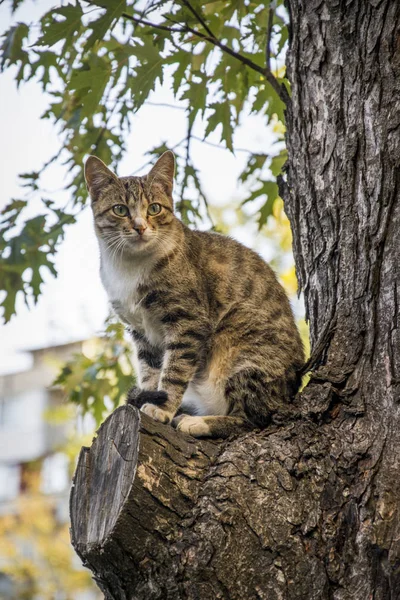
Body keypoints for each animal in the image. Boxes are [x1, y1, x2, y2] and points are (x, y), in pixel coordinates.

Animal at [83, 152, 304, 438]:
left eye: (154, 208)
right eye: (120, 209)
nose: (140, 227)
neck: (129, 268)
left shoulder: (188, 320)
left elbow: (175, 370)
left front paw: (163, 408)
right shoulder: (141, 332)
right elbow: (150, 372)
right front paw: (148, 398)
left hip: (244, 354)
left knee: (254, 418)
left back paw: (199, 422)